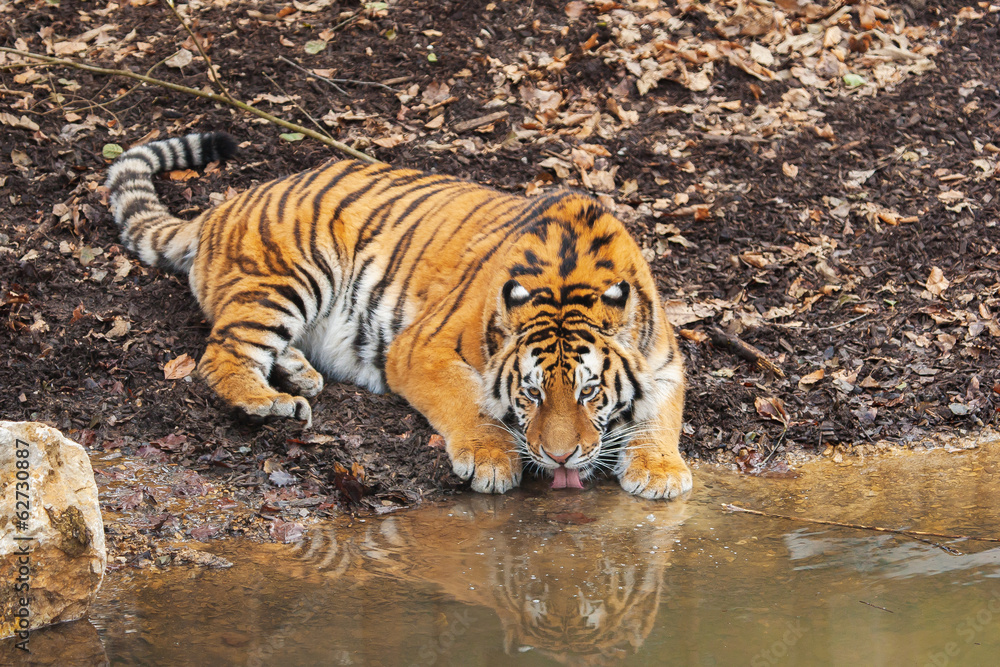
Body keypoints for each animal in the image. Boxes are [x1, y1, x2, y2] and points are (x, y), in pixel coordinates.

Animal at [105, 132, 692, 499]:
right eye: (531, 392)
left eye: (589, 392)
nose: (562, 458)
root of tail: (221, 206)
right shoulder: (421, 350)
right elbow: (470, 404)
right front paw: (492, 457)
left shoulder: (664, 363)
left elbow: (662, 417)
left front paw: (661, 470)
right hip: (291, 275)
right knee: (222, 351)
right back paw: (269, 402)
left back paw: (300, 373)